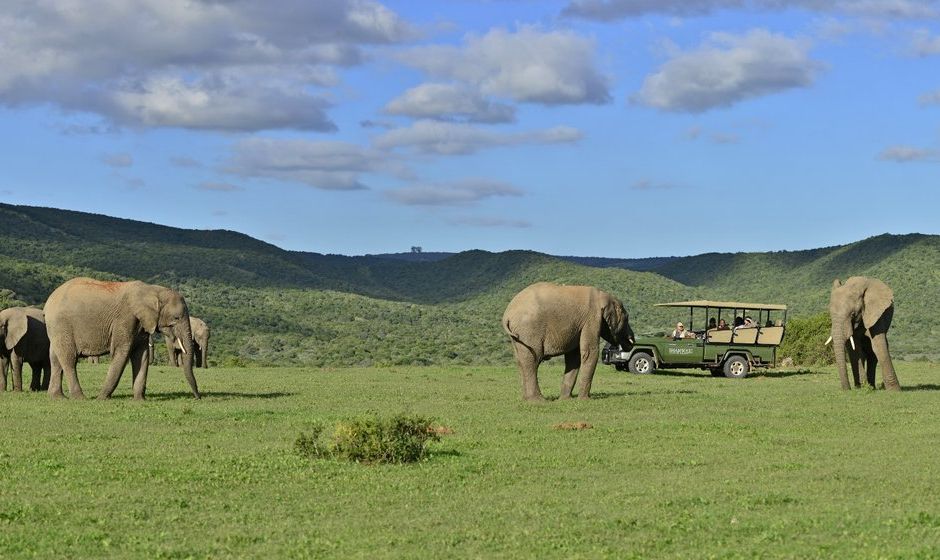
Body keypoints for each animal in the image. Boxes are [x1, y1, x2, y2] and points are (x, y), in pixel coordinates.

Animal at [44, 278, 200, 400]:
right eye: (176, 318)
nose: (198, 397)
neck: (152, 290)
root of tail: (48, 302)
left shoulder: (140, 323)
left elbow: (141, 355)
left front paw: (139, 400)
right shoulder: (125, 318)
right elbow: (122, 352)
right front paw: (101, 399)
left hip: (56, 329)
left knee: (55, 359)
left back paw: (57, 397)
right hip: (61, 325)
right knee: (69, 359)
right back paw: (80, 398)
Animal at [504, 282, 636, 400]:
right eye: (627, 318)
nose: (632, 342)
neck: (603, 296)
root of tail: (507, 315)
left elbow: (574, 357)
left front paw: (565, 400)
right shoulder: (592, 318)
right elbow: (590, 352)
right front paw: (584, 400)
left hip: (519, 336)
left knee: (521, 361)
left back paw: (526, 399)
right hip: (529, 330)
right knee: (532, 360)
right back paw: (538, 401)